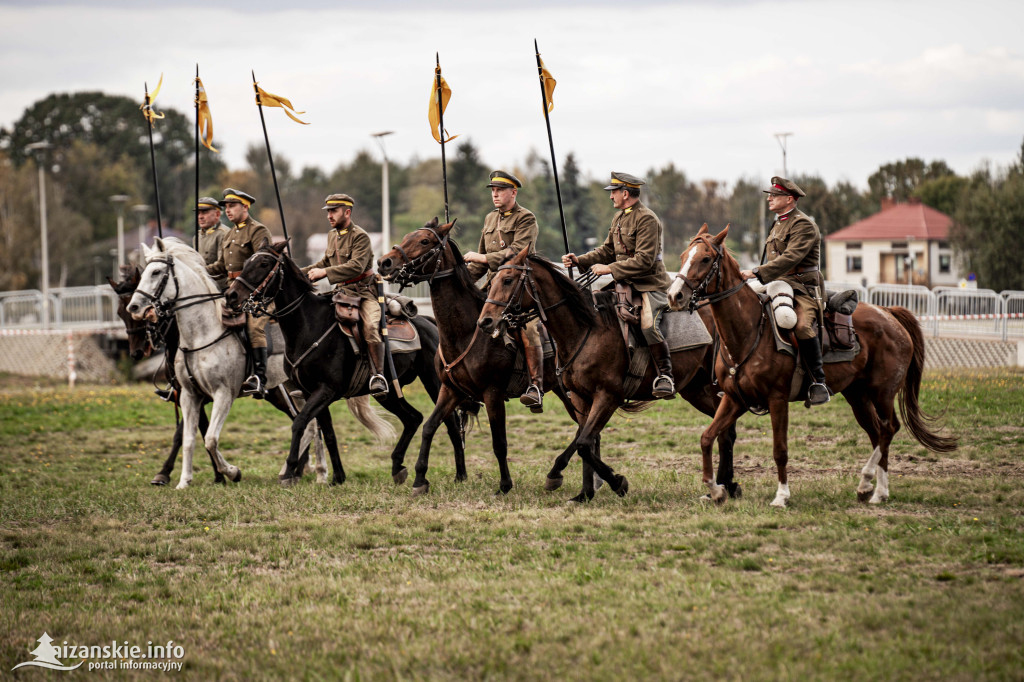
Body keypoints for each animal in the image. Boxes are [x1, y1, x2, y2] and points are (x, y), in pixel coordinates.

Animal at [228, 238, 464, 483]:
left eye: (264, 263)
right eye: (247, 261)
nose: (231, 295)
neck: (309, 325)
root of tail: (430, 323)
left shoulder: (325, 390)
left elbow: (300, 423)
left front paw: (290, 470)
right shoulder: (311, 393)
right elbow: (328, 433)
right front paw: (337, 477)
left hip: (435, 384)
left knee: (450, 424)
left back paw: (460, 474)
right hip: (388, 393)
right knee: (413, 418)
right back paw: (397, 465)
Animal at [475, 245, 741, 499]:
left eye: (508, 280)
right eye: (492, 281)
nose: (485, 321)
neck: (586, 329)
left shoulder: (608, 396)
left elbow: (584, 443)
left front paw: (617, 483)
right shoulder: (581, 398)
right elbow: (586, 442)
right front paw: (584, 493)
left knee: (725, 430)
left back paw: (723, 484)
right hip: (697, 390)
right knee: (725, 430)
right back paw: (727, 484)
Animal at [667, 223, 954, 503]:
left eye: (705, 258)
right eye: (682, 256)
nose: (675, 296)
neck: (749, 331)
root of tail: (888, 313)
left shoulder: (778, 399)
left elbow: (780, 450)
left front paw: (781, 495)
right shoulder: (734, 398)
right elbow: (707, 437)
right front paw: (715, 489)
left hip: (882, 393)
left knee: (888, 429)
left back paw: (877, 489)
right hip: (858, 395)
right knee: (876, 433)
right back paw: (868, 487)